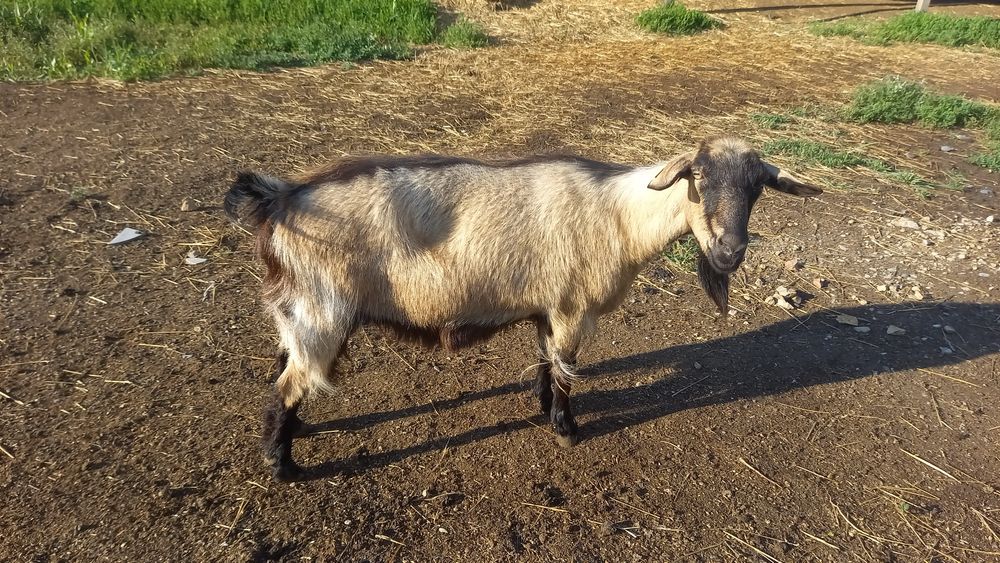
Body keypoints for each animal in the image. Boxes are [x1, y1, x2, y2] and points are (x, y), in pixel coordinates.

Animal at [225, 136, 822, 482]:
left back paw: (293, 438)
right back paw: (281, 466)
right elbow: (565, 371)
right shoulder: (573, 307)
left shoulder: (548, 307)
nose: (730, 252)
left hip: (302, 312)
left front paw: (542, 407)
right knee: (288, 385)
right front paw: (565, 428)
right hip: (322, 309)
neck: (621, 217)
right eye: (698, 178)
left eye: (758, 190)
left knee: (286, 370)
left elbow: (545, 362)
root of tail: (278, 201)